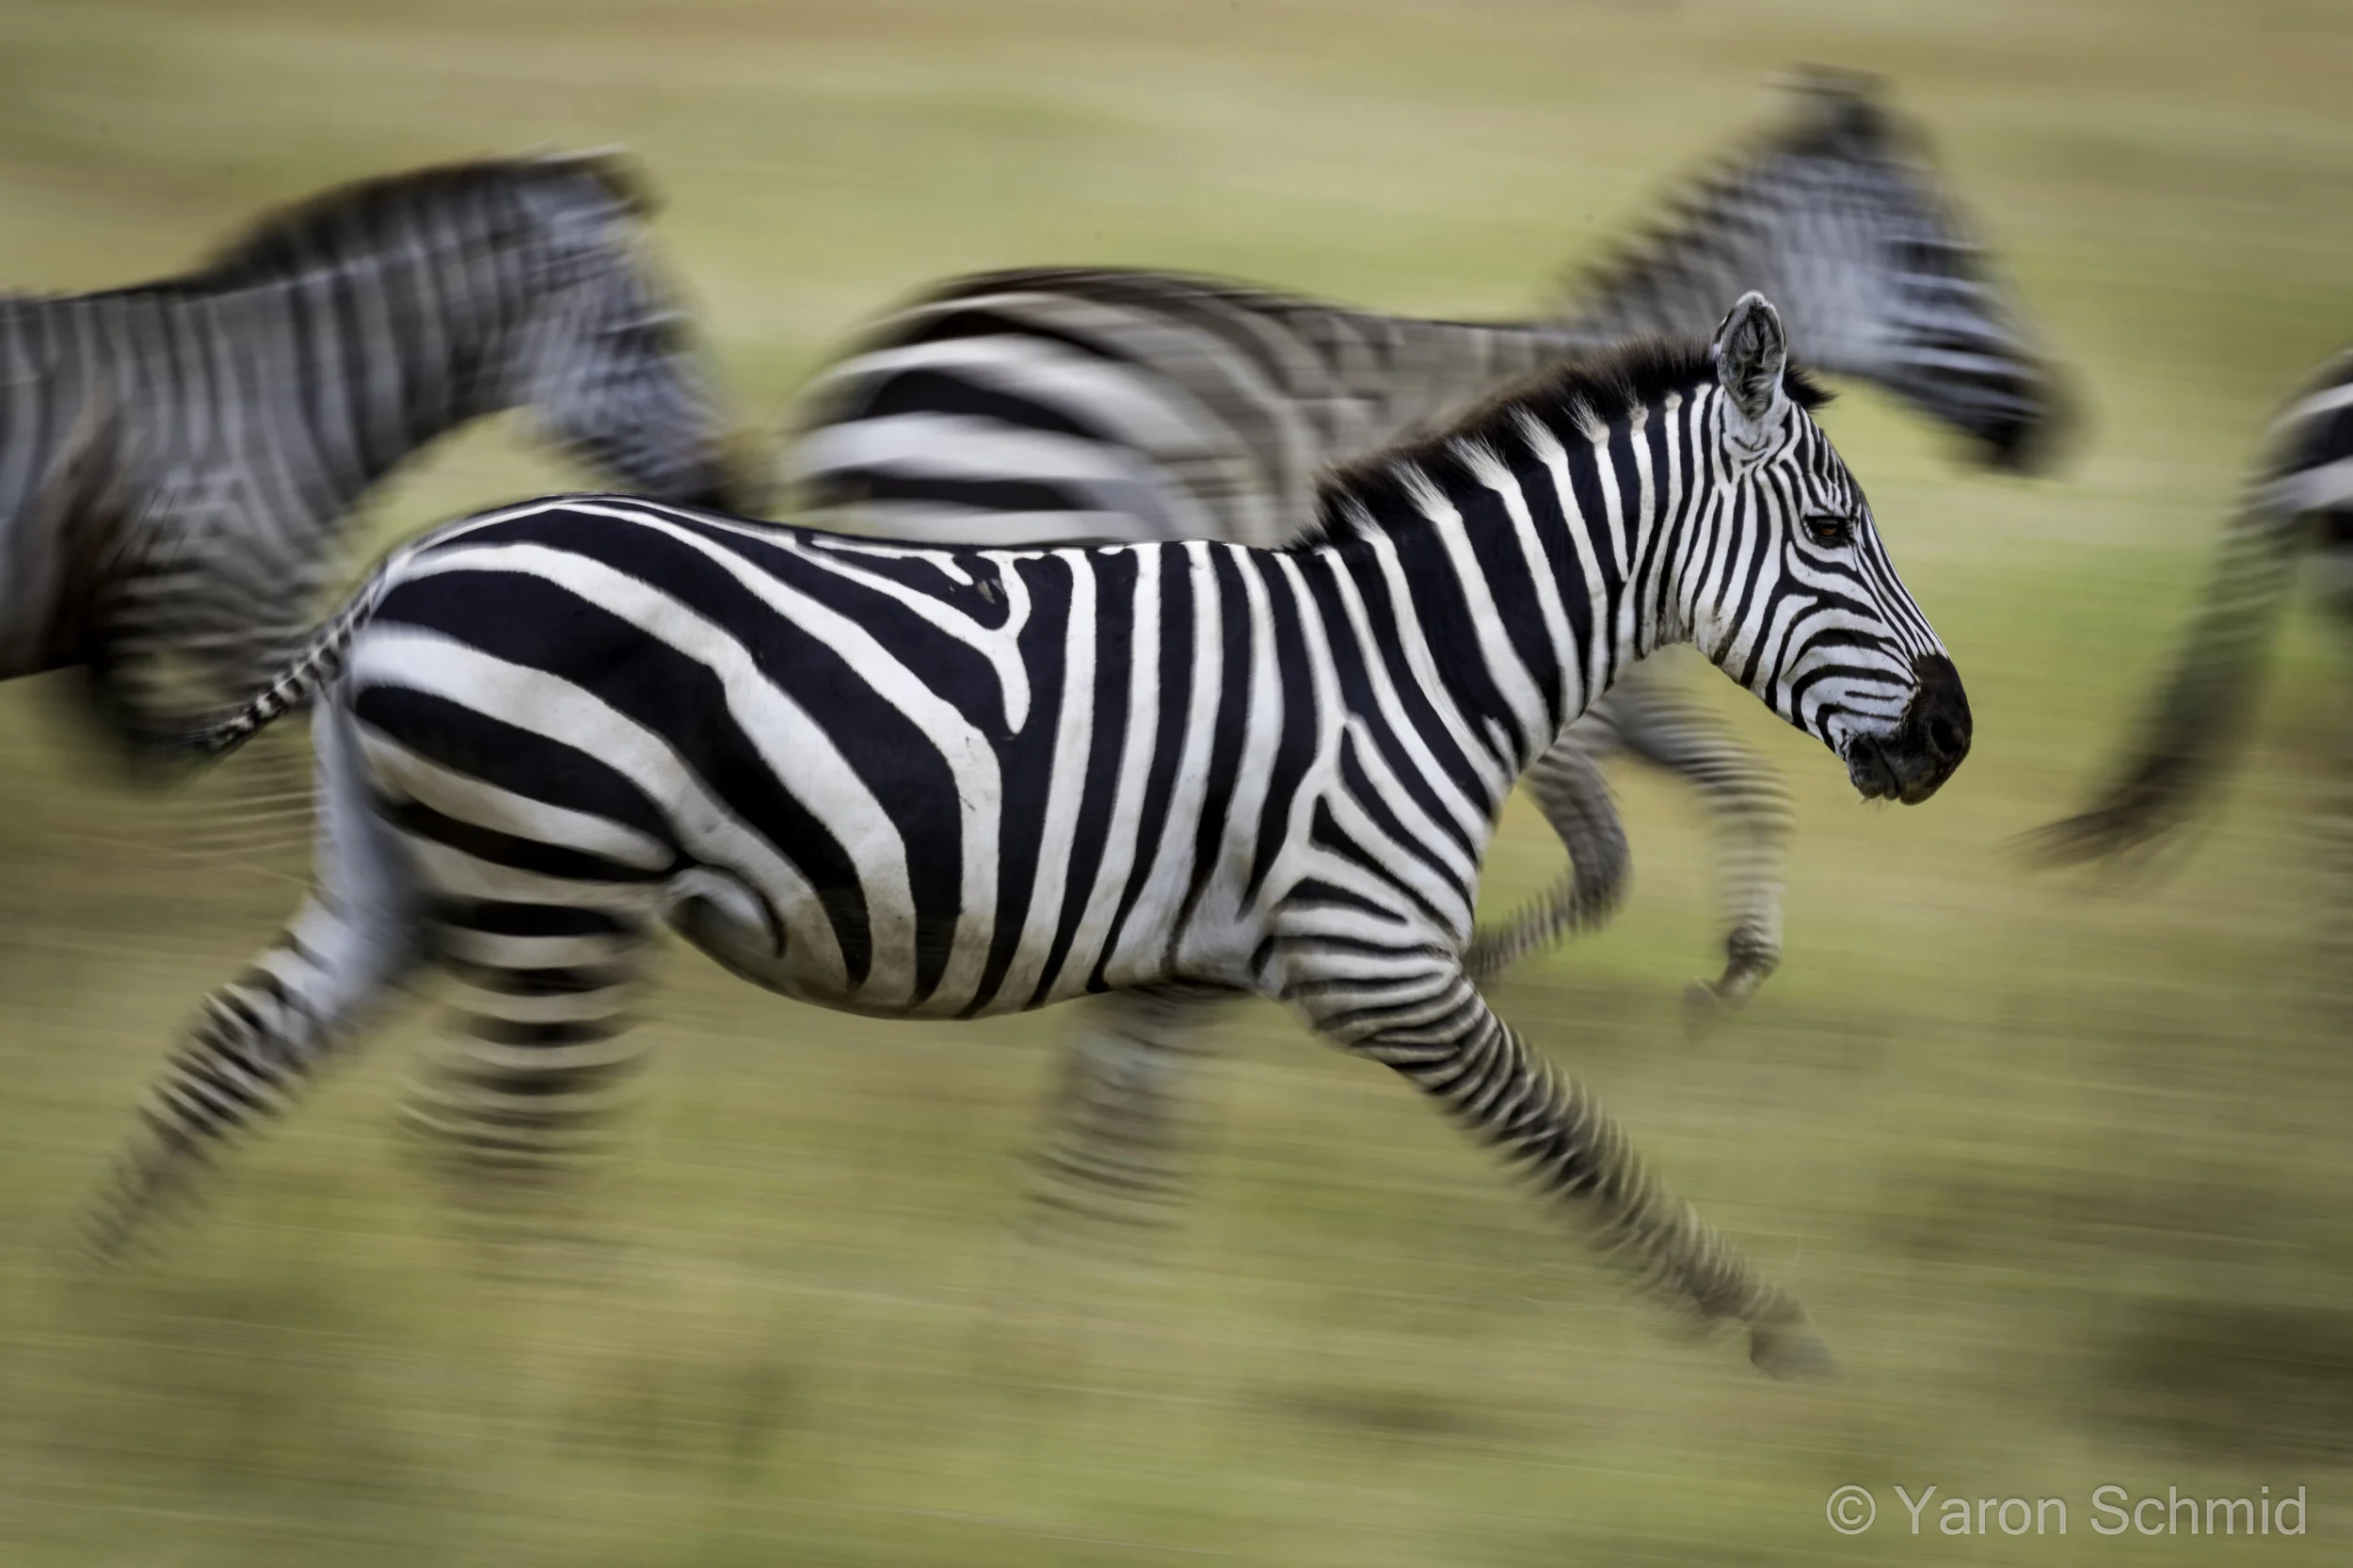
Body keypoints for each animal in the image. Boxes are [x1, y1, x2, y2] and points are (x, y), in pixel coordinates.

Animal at [85, 296, 1972, 1379]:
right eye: (1831, 528)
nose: (1952, 737)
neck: (1415, 663)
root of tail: (408, 565)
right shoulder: (1377, 959)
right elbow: (1573, 1137)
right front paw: (1757, 1323)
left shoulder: (1194, 964)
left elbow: (1104, 1168)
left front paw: (1048, 1361)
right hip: (554, 886)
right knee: (497, 1145)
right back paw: (557, 1356)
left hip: (410, 881)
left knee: (233, 1058)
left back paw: (106, 1302)